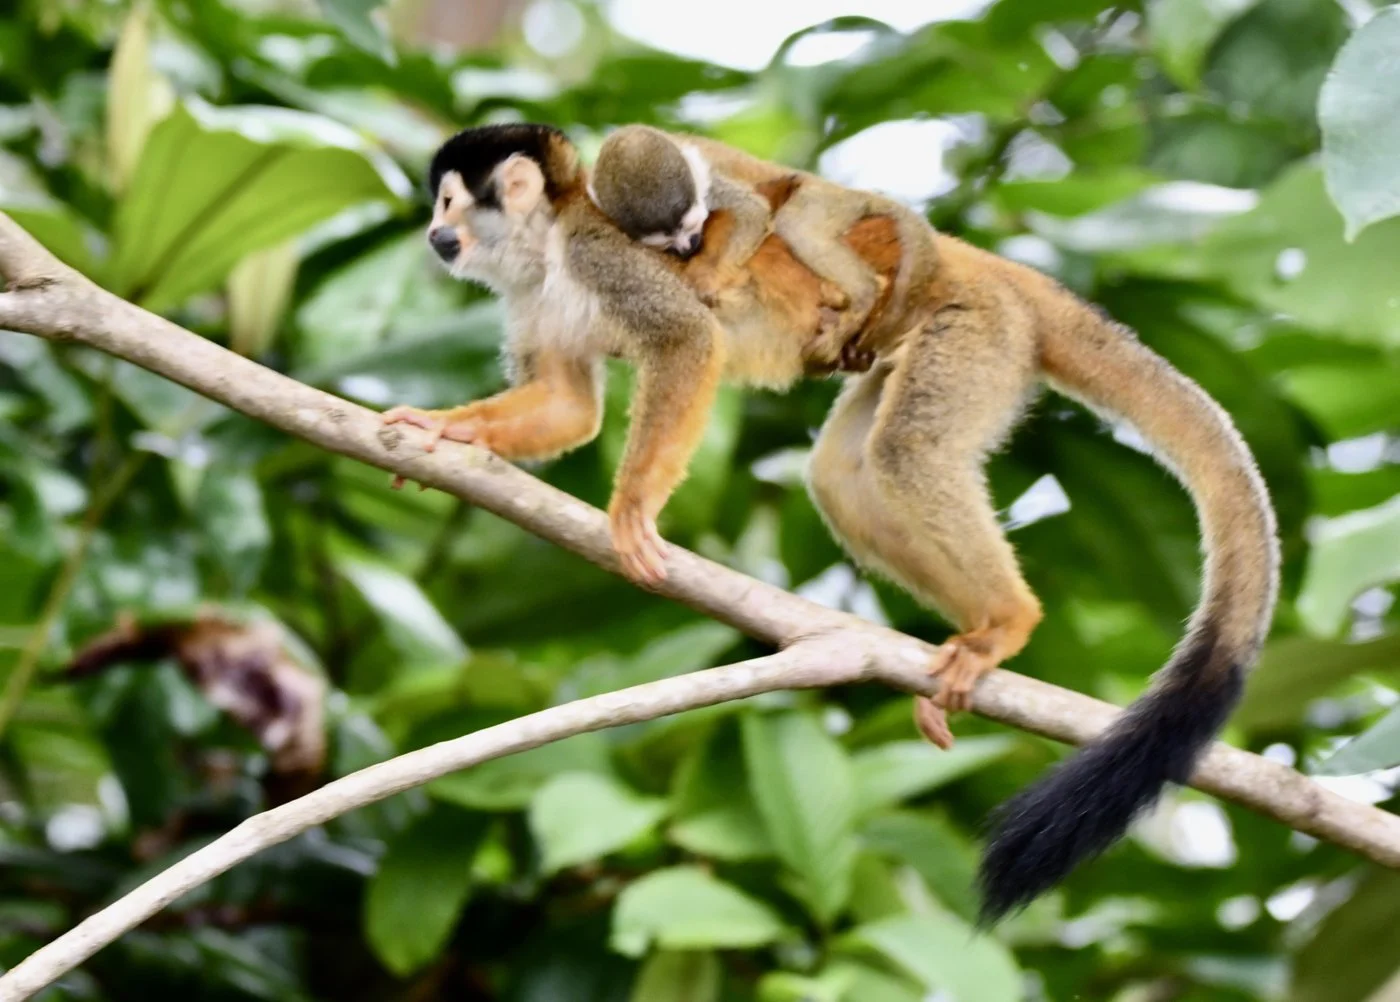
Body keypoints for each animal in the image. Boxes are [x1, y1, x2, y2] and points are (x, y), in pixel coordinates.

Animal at [588, 124, 938, 369]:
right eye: (666, 241)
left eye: (688, 226)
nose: (687, 248)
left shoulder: (712, 183)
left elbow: (752, 212)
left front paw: (709, 279)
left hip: (830, 203)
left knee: (797, 224)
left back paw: (862, 295)